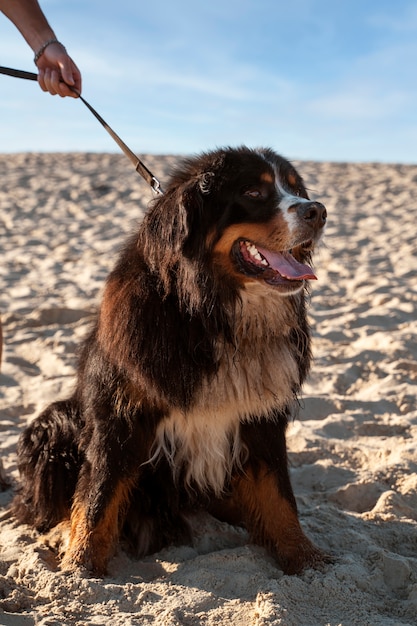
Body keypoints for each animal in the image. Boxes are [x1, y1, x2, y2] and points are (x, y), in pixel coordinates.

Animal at [13, 144, 326, 572]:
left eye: (295, 189)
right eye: (254, 193)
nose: (318, 211)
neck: (209, 312)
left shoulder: (261, 415)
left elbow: (279, 495)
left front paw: (306, 558)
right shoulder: (119, 412)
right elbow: (97, 496)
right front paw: (81, 565)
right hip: (55, 423)